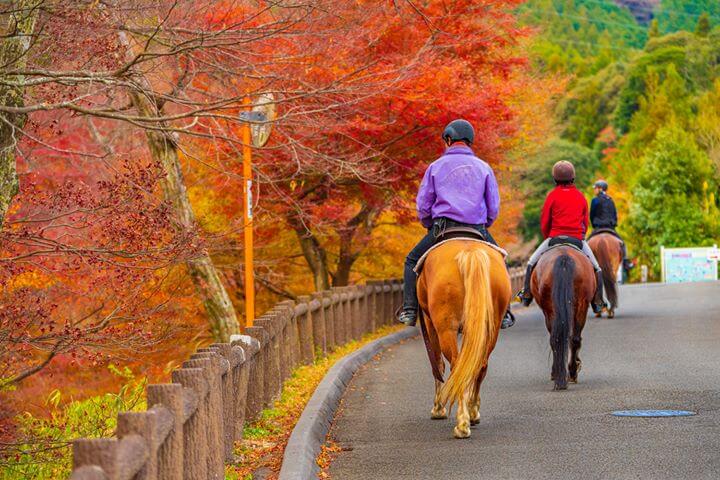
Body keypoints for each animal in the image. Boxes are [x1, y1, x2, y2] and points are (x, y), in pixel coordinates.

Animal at [416, 240, 511, 438]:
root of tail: (470, 252)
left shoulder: (430, 324)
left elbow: (437, 366)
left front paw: (438, 409)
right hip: (490, 327)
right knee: (479, 365)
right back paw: (472, 413)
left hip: (446, 329)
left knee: (456, 365)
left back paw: (462, 424)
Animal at [531, 246, 596, 390]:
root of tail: (564, 258)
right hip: (580, 306)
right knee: (573, 339)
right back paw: (570, 373)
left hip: (551, 309)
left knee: (558, 339)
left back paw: (562, 373)